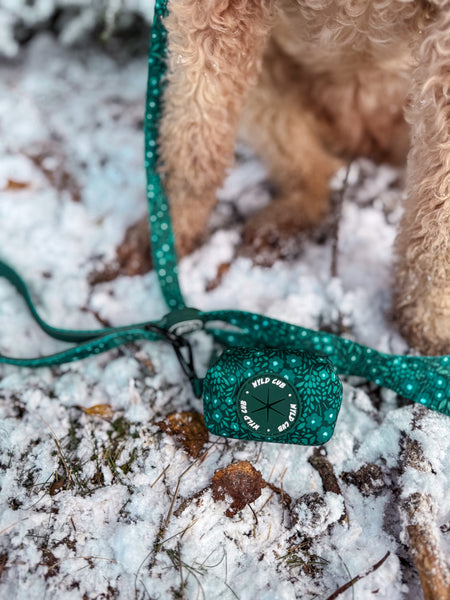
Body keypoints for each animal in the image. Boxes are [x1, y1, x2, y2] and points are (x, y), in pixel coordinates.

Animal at [146, 0, 448, 354]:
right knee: (312, 168)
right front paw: (166, 235)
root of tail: (359, 142)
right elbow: (193, 139)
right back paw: (280, 228)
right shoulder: (212, 16)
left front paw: (430, 324)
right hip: (266, 77)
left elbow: (437, 220)